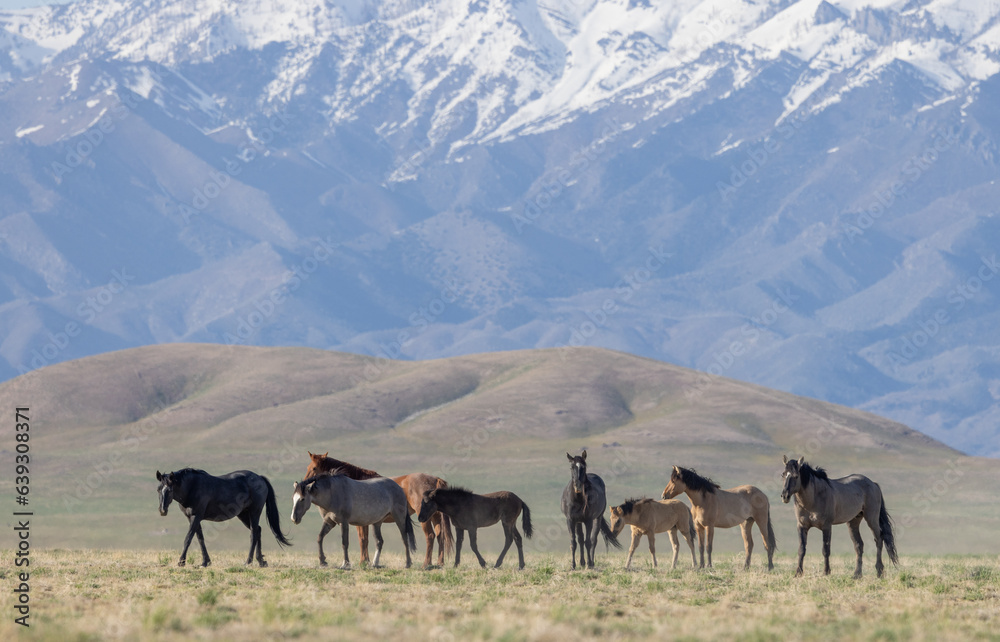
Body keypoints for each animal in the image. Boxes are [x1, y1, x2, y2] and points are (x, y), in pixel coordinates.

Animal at [155, 464, 290, 564]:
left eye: (170, 490)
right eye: (158, 489)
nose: (162, 511)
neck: (192, 487)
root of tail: (260, 478)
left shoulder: (196, 516)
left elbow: (188, 538)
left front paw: (181, 561)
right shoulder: (191, 517)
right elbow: (200, 538)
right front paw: (205, 562)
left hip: (254, 512)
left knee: (254, 533)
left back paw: (248, 561)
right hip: (243, 514)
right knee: (258, 530)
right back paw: (261, 561)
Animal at [298, 450, 452, 564]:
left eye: (314, 468)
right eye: (307, 468)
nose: (303, 485)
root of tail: (435, 479)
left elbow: (362, 539)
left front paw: (363, 561)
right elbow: (365, 539)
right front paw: (366, 561)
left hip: (425, 517)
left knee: (430, 536)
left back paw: (426, 564)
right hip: (435, 517)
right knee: (440, 536)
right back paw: (439, 563)